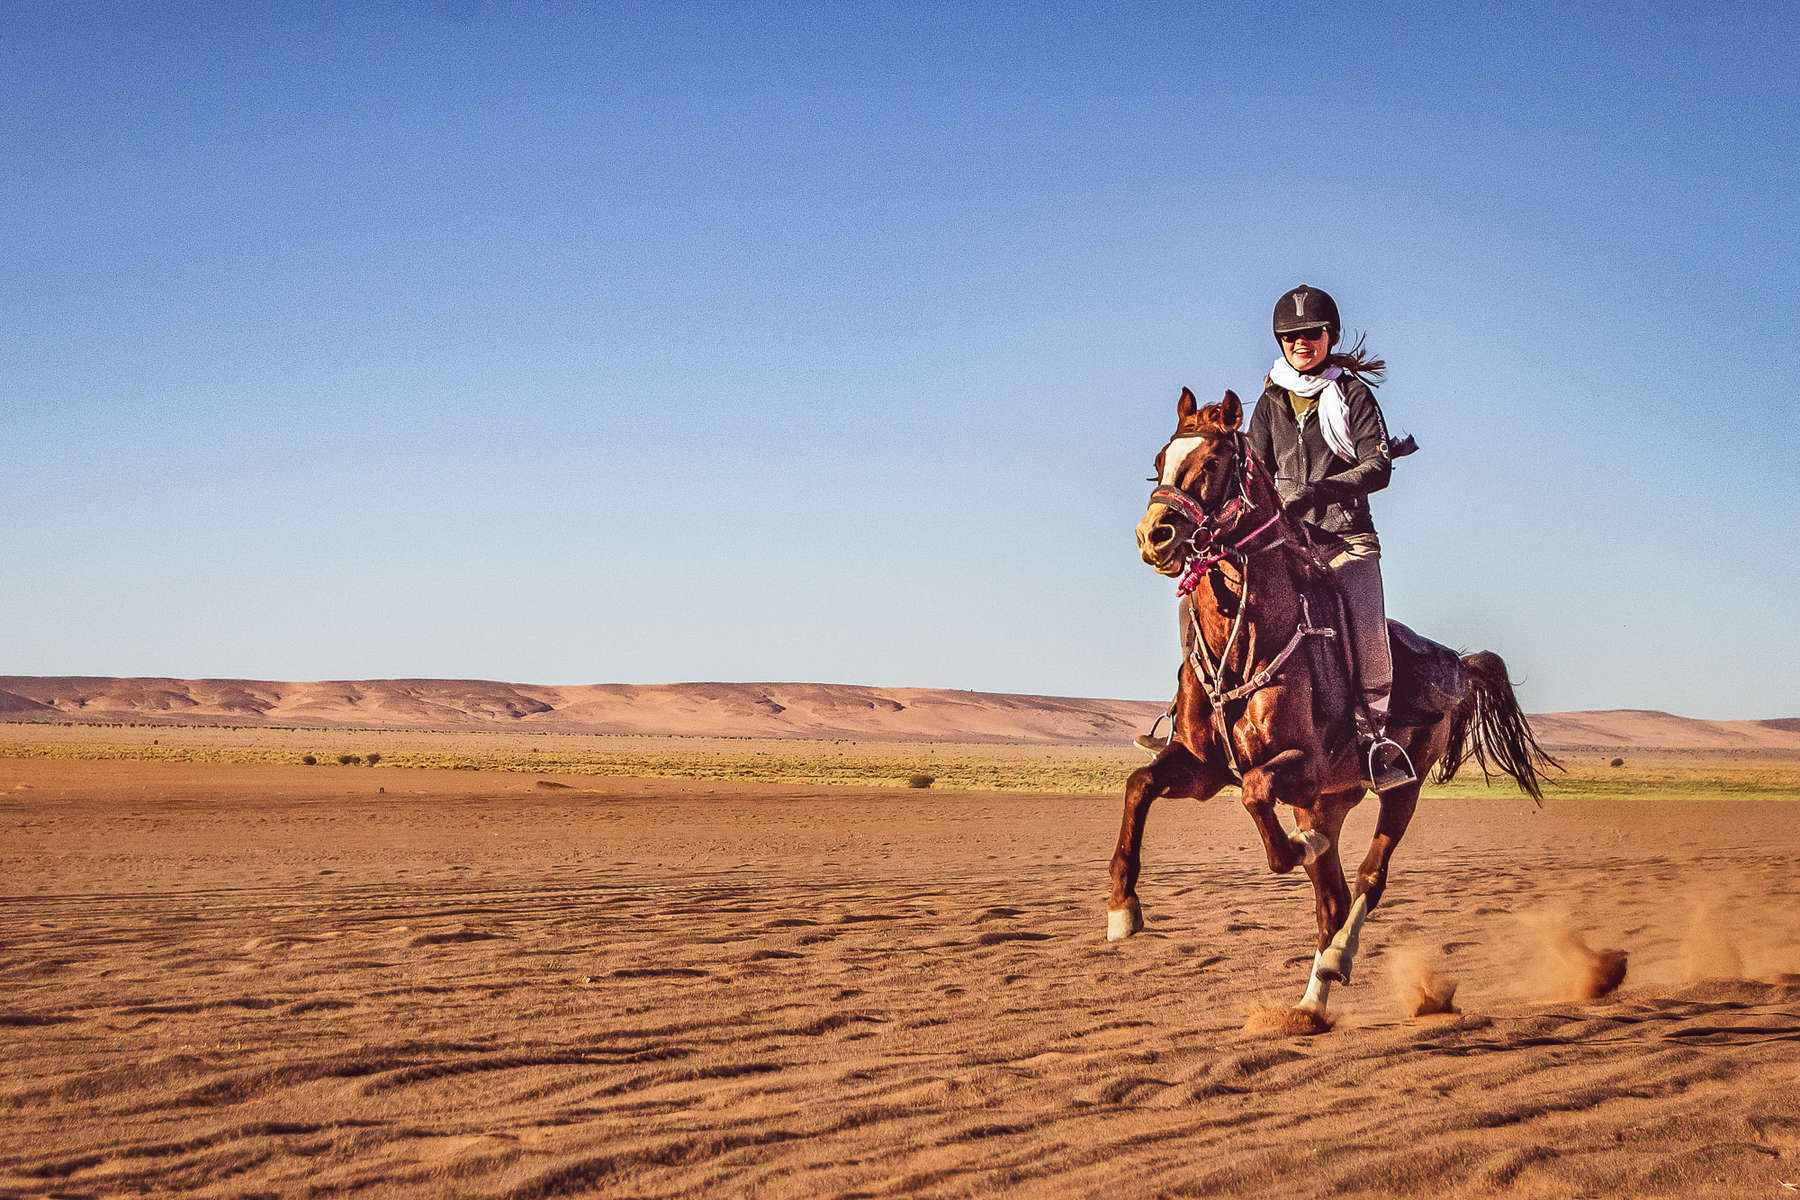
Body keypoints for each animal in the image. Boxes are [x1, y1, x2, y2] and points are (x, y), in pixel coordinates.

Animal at [1101, 386, 1555, 1021]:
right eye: (1159, 460)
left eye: (1213, 463)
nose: (1154, 535)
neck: (1250, 639)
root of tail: (1456, 664)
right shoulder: (1204, 768)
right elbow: (1139, 783)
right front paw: (1123, 910)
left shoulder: (1302, 768)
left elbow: (1256, 793)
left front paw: (1295, 850)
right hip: (1330, 801)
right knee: (1333, 900)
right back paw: (1311, 1004)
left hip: (1396, 787)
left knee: (1367, 881)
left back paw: (1336, 959)